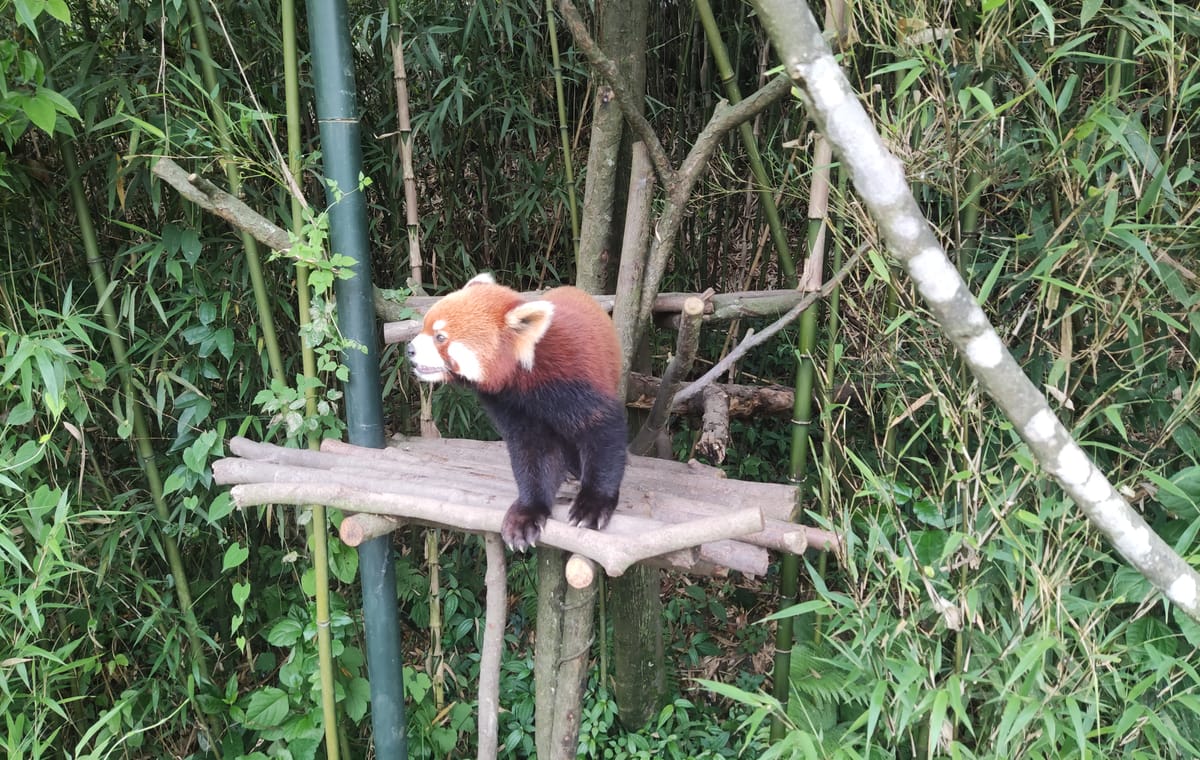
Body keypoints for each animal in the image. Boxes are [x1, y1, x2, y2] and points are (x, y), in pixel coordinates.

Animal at [406, 273, 627, 550]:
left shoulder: (573, 379)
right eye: (425, 327)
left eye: (440, 337)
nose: (410, 350)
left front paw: (593, 504)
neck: (523, 376)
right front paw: (528, 513)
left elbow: (603, 431)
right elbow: (532, 451)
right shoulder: (508, 403)